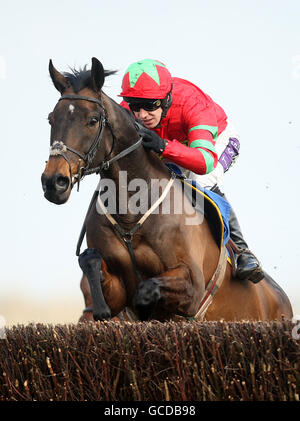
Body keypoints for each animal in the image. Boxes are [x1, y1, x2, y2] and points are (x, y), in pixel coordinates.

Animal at [41, 57, 292, 322]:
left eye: (93, 120)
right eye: (51, 119)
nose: (54, 181)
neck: (132, 212)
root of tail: (281, 298)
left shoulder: (192, 284)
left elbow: (146, 288)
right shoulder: (116, 289)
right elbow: (91, 263)